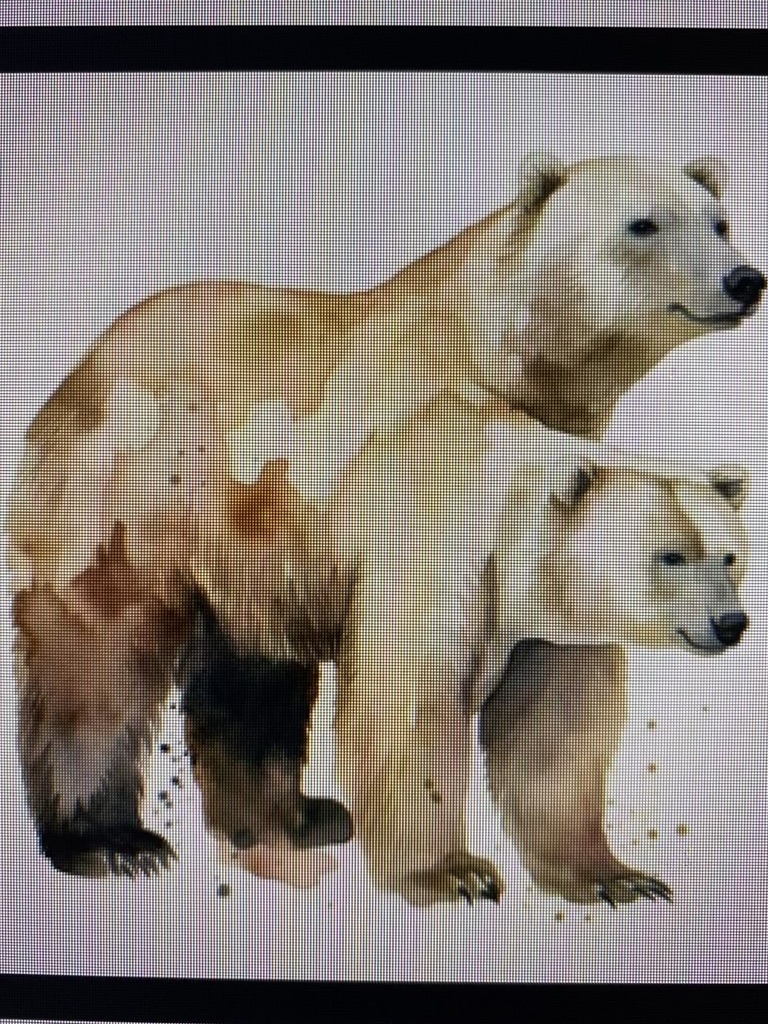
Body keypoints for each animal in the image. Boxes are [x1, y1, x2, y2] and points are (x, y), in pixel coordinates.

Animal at [5, 153, 763, 883]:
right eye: (644, 224)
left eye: (719, 221)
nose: (744, 279)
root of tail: (86, 361)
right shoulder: (414, 514)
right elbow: (408, 691)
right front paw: (451, 871)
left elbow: (556, 714)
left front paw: (611, 874)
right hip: (138, 492)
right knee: (99, 650)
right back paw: (112, 840)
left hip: (250, 555)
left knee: (254, 673)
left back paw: (293, 819)